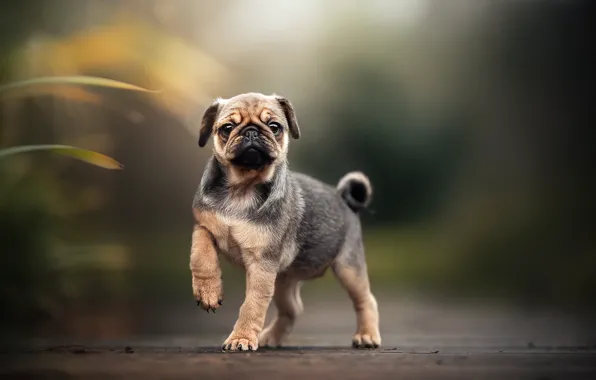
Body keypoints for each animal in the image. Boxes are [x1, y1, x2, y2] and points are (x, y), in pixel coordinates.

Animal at [191, 93, 382, 352]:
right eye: (227, 128)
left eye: (274, 127)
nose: (252, 132)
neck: (242, 188)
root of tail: (342, 197)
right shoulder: (203, 226)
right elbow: (200, 253)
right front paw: (208, 292)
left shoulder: (262, 264)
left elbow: (252, 305)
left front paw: (241, 338)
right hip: (283, 280)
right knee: (292, 310)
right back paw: (271, 337)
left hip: (348, 268)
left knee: (365, 300)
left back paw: (367, 335)